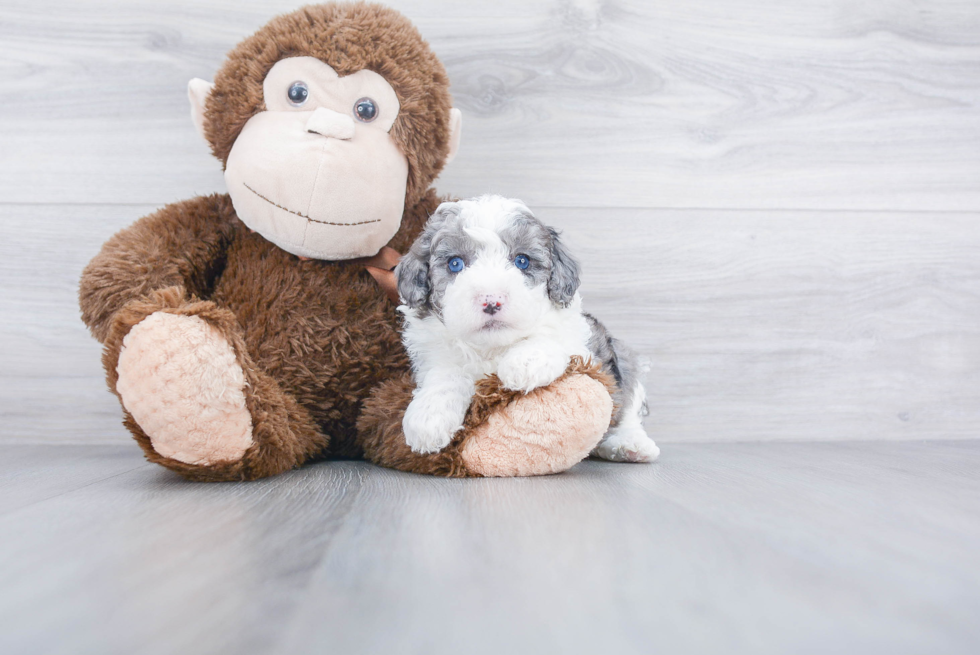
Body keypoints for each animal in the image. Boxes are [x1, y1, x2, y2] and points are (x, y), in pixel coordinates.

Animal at [394, 192, 664, 464]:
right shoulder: (434, 353)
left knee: (627, 405)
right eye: (455, 263)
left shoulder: (582, 344)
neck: (494, 346)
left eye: (522, 261)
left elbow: (550, 337)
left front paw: (524, 362)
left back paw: (630, 444)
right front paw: (428, 418)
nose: (491, 301)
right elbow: (445, 374)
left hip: (623, 360)